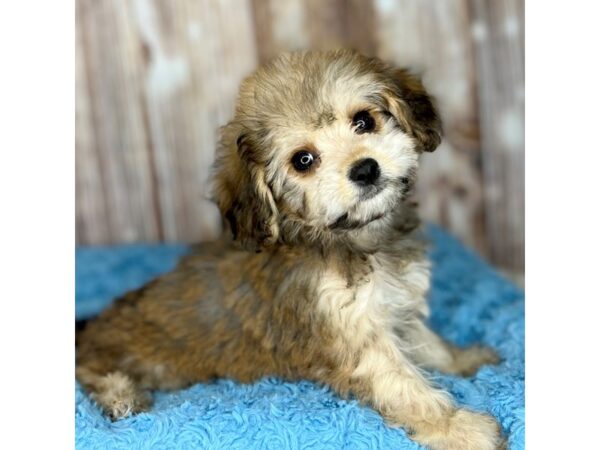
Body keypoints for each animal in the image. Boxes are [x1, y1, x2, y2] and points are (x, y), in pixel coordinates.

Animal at [77, 49, 504, 450]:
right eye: (303, 160)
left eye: (364, 121)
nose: (365, 169)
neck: (347, 238)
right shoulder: (354, 337)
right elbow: (404, 385)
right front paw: (459, 428)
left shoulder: (397, 306)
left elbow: (427, 343)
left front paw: (463, 360)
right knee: (90, 372)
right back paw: (121, 396)